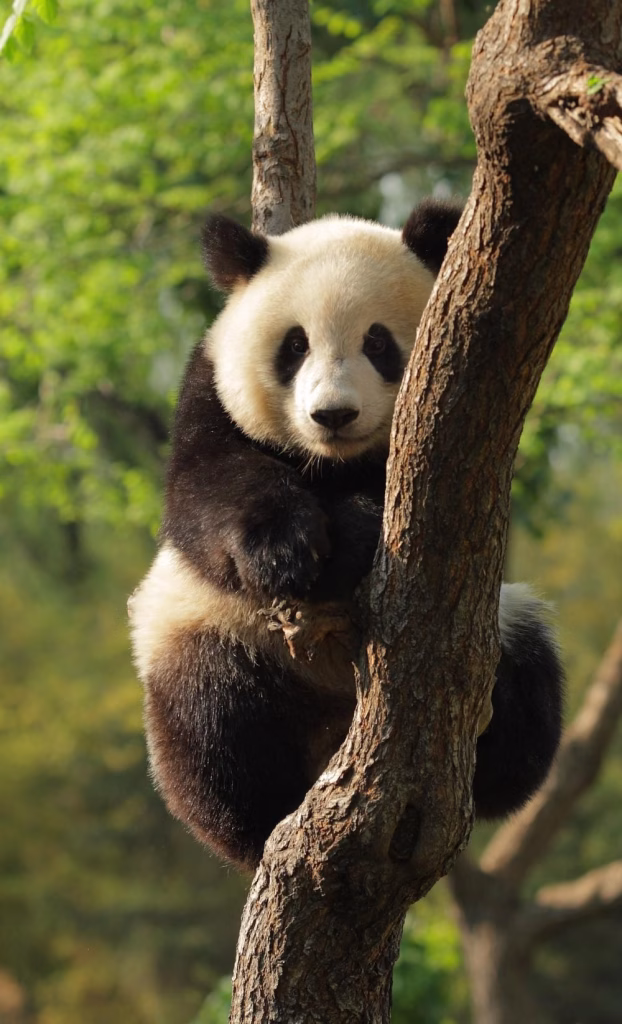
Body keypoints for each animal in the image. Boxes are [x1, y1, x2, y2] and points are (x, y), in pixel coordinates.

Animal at [130, 199, 564, 871]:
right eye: (295, 345)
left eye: (377, 341)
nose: (333, 415)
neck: (332, 463)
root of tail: (334, 730)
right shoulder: (208, 393)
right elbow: (205, 493)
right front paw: (288, 551)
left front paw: (351, 536)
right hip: (211, 631)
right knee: (210, 718)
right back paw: (258, 820)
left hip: (499, 624)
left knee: (528, 690)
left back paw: (494, 752)